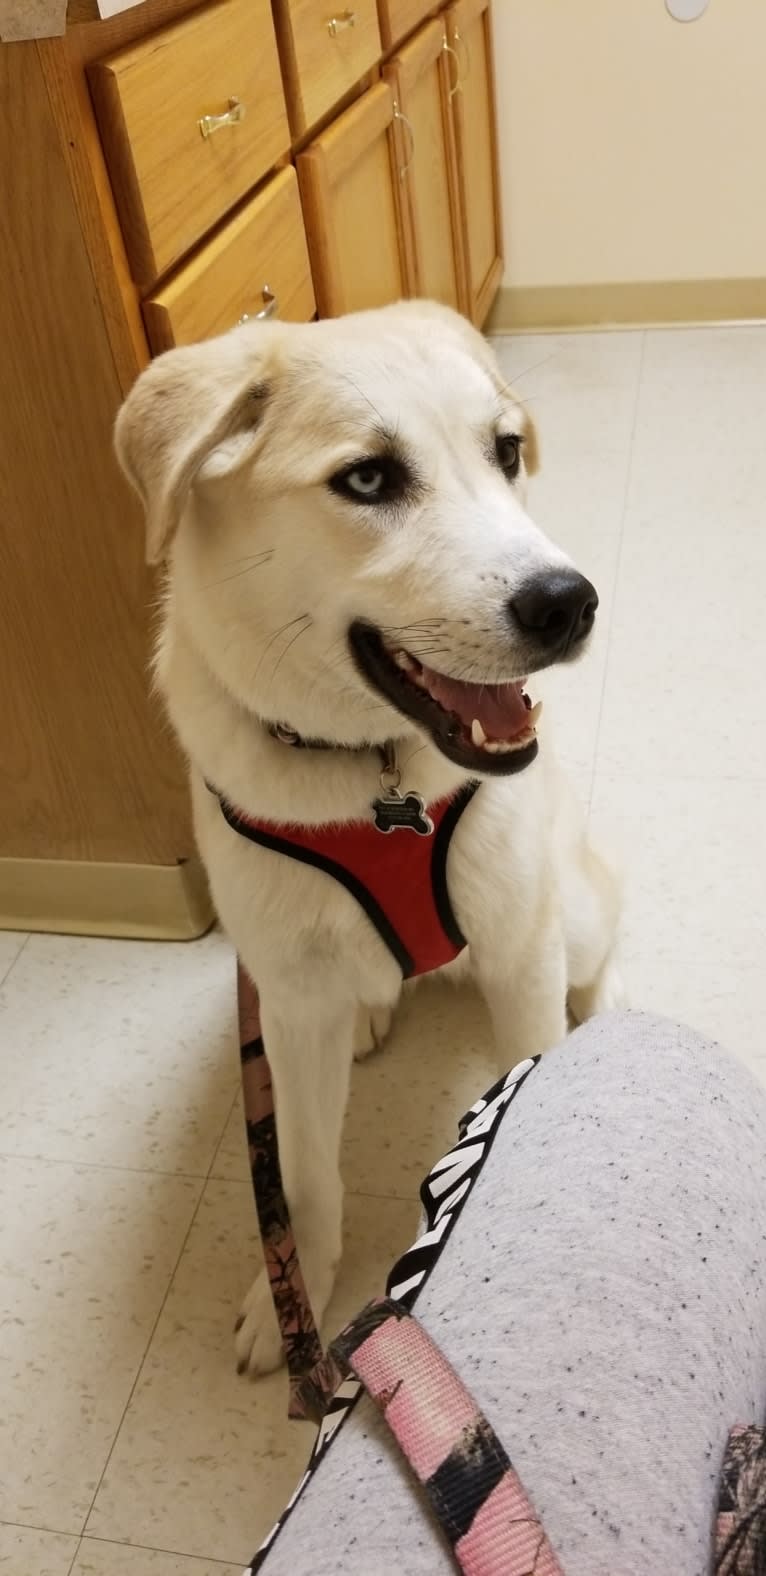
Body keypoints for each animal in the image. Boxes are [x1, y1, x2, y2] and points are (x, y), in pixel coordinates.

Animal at [118, 297, 620, 1380]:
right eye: (366, 479)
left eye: (504, 451)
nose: (568, 602)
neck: (375, 776)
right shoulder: (292, 1001)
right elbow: (306, 1177)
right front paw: (295, 1296)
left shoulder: (521, 953)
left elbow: (530, 1094)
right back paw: (373, 1012)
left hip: (575, 913)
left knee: (594, 963)